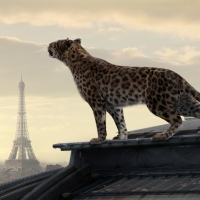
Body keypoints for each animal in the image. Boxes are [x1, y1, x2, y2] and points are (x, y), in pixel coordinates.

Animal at [48, 37, 200, 144]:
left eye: (55, 43)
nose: (48, 45)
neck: (74, 61)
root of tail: (177, 75)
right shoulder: (113, 105)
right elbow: (120, 123)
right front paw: (122, 137)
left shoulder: (96, 101)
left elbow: (100, 122)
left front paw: (99, 139)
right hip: (184, 103)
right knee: (196, 111)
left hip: (157, 103)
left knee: (177, 120)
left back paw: (161, 136)